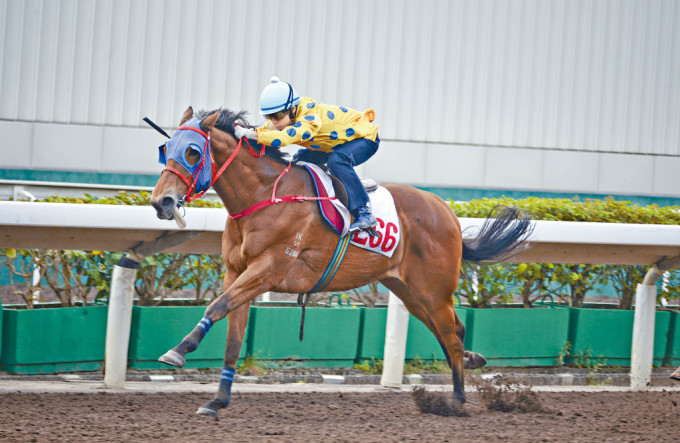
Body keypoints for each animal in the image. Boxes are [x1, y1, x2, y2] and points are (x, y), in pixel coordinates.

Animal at [149, 106, 532, 416]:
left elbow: (215, 306)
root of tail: (448, 213)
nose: (161, 202)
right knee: (451, 330)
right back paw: (469, 362)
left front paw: (177, 351)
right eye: (165, 149)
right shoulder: (236, 272)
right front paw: (217, 401)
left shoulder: (268, 270)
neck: (265, 194)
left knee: (450, 336)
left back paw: (456, 400)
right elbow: (231, 337)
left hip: (433, 291)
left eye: (193, 151)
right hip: (411, 291)